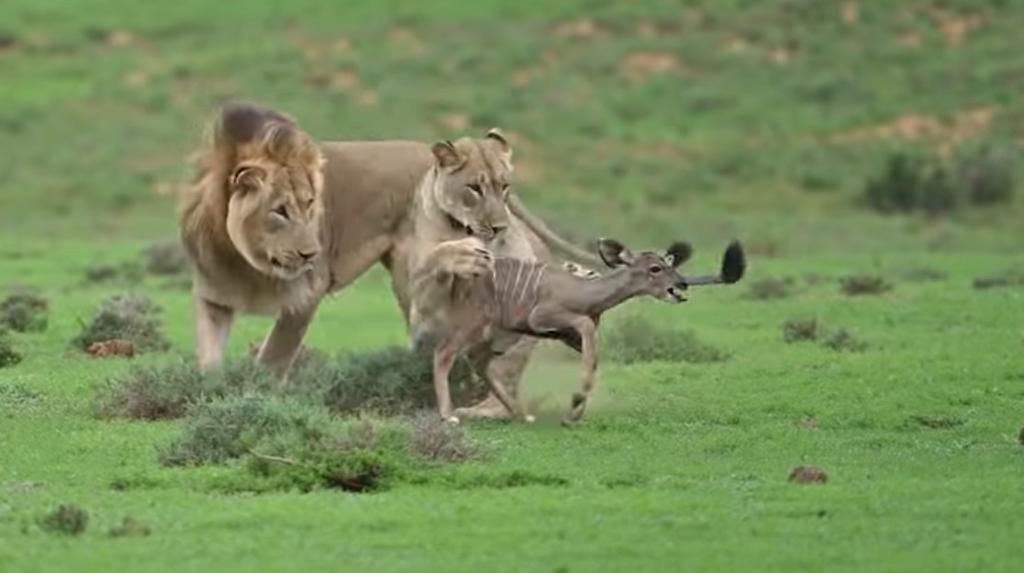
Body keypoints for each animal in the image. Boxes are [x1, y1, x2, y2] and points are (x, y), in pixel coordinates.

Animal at [182, 102, 593, 415]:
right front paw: (211, 395)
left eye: (311, 204)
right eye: (280, 211)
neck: (249, 260)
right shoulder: (214, 297)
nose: (311, 253)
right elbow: (208, 358)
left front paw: (256, 396)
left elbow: (274, 357)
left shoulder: (304, 297)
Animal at [415, 238, 745, 425]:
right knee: (444, 354)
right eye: (655, 269)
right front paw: (574, 406)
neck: (586, 294)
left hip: (496, 335)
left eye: (668, 264)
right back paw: (449, 416)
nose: (681, 285)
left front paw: (574, 412)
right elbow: (587, 340)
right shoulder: (544, 319)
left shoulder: (569, 335)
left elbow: (593, 360)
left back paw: (522, 414)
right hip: (474, 325)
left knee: (480, 362)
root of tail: (457, 278)